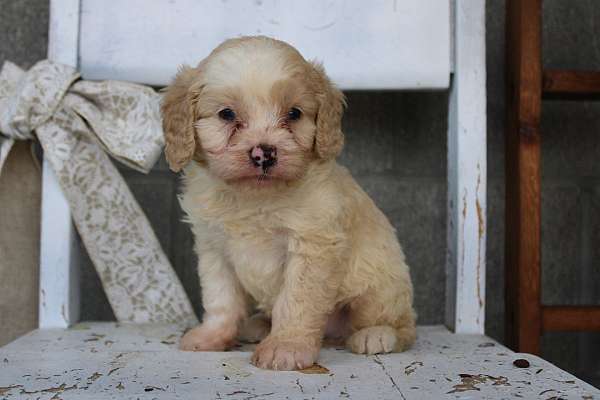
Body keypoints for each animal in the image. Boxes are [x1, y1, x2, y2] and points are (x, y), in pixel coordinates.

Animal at [164, 36, 418, 370]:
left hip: (381, 284)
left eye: (294, 113)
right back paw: (259, 325)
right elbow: (221, 299)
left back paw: (376, 335)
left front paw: (287, 346)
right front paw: (212, 336)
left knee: (403, 325)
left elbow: (296, 301)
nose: (264, 154)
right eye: (227, 115)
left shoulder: (312, 245)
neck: (254, 197)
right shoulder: (214, 249)